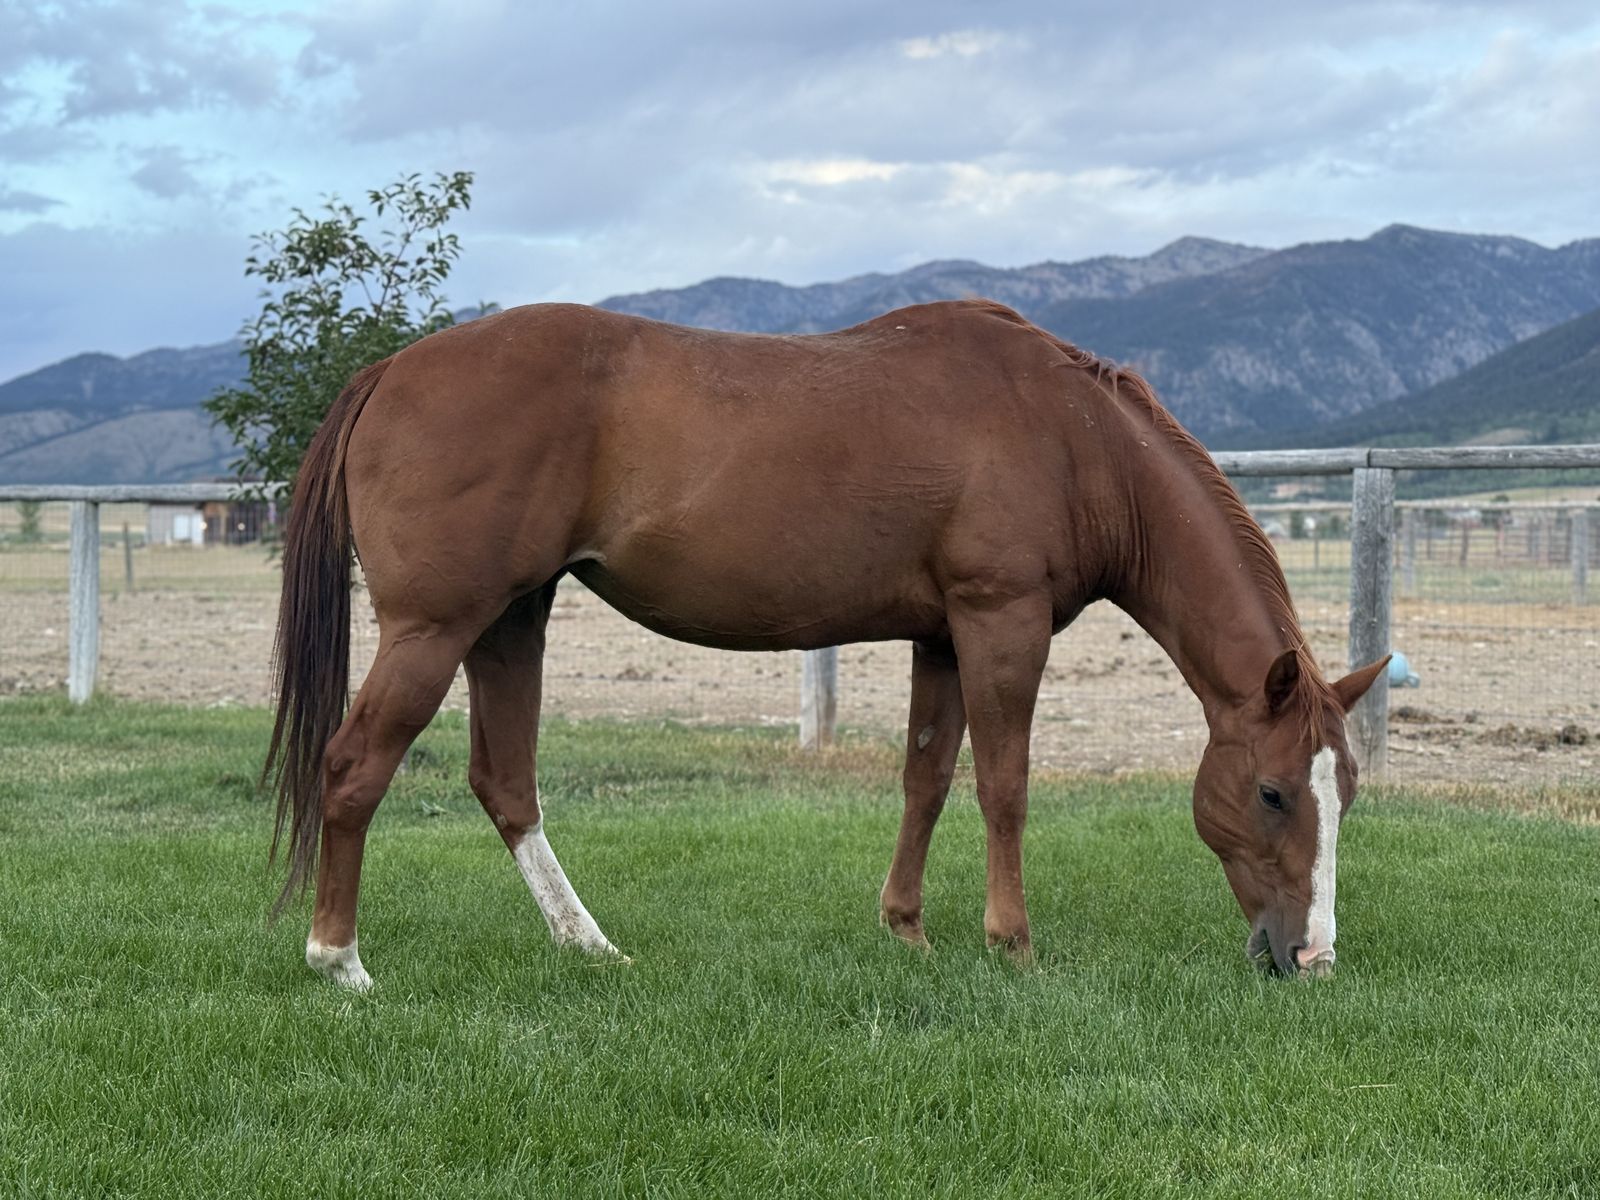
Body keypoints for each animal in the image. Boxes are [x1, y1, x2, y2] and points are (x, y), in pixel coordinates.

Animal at [266, 298, 1387, 991]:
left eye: (1346, 791)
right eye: (1273, 792)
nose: (1311, 959)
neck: (1074, 438)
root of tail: (389, 370)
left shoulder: (941, 639)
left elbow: (925, 780)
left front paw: (908, 930)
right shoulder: (1000, 622)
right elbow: (1004, 785)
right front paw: (1011, 945)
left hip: (511, 620)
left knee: (506, 784)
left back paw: (588, 945)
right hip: (436, 628)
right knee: (354, 767)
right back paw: (338, 961)